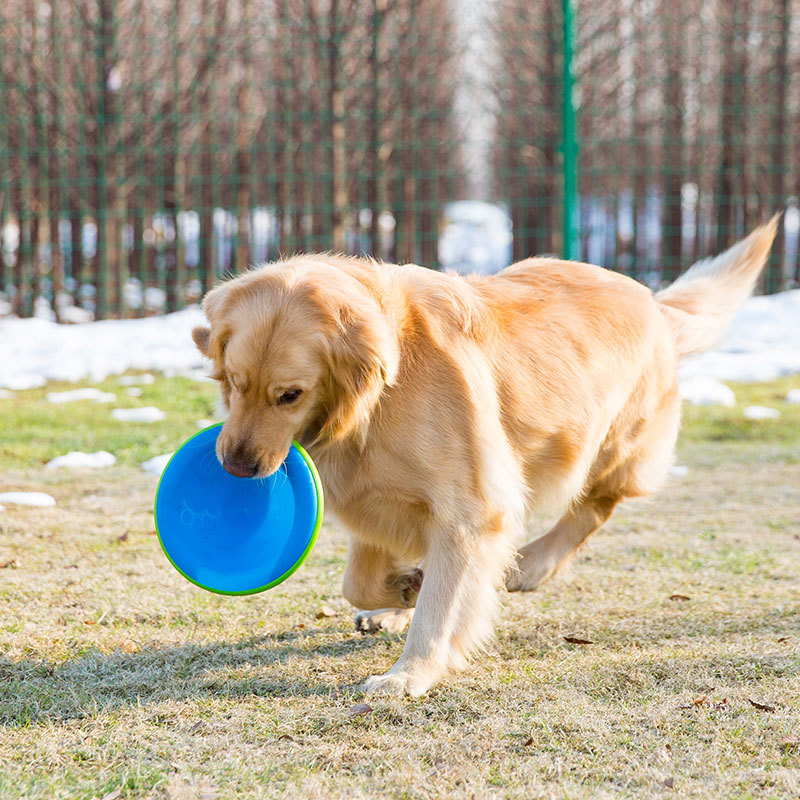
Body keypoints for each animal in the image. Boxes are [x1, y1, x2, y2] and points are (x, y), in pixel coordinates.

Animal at [191, 217, 780, 692]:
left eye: (289, 395)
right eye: (235, 382)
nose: (234, 467)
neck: (380, 395)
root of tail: (654, 303)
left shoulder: (471, 507)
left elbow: (444, 601)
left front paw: (411, 672)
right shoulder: (374, 496)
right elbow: (359, 581)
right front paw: (403, 590)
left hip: (609, 444)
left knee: (595, 505)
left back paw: (533, 564)